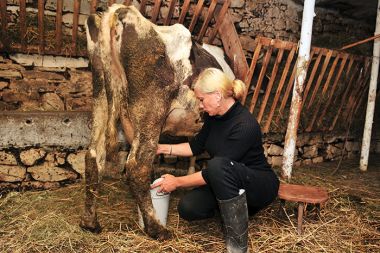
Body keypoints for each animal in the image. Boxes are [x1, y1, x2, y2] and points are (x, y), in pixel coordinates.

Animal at [80, 4, 235, 241]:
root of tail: (121, 11)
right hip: (151, 109)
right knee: (137, 166)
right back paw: (157, 229)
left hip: (100, 97)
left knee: (93, 157)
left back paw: (90, 222)